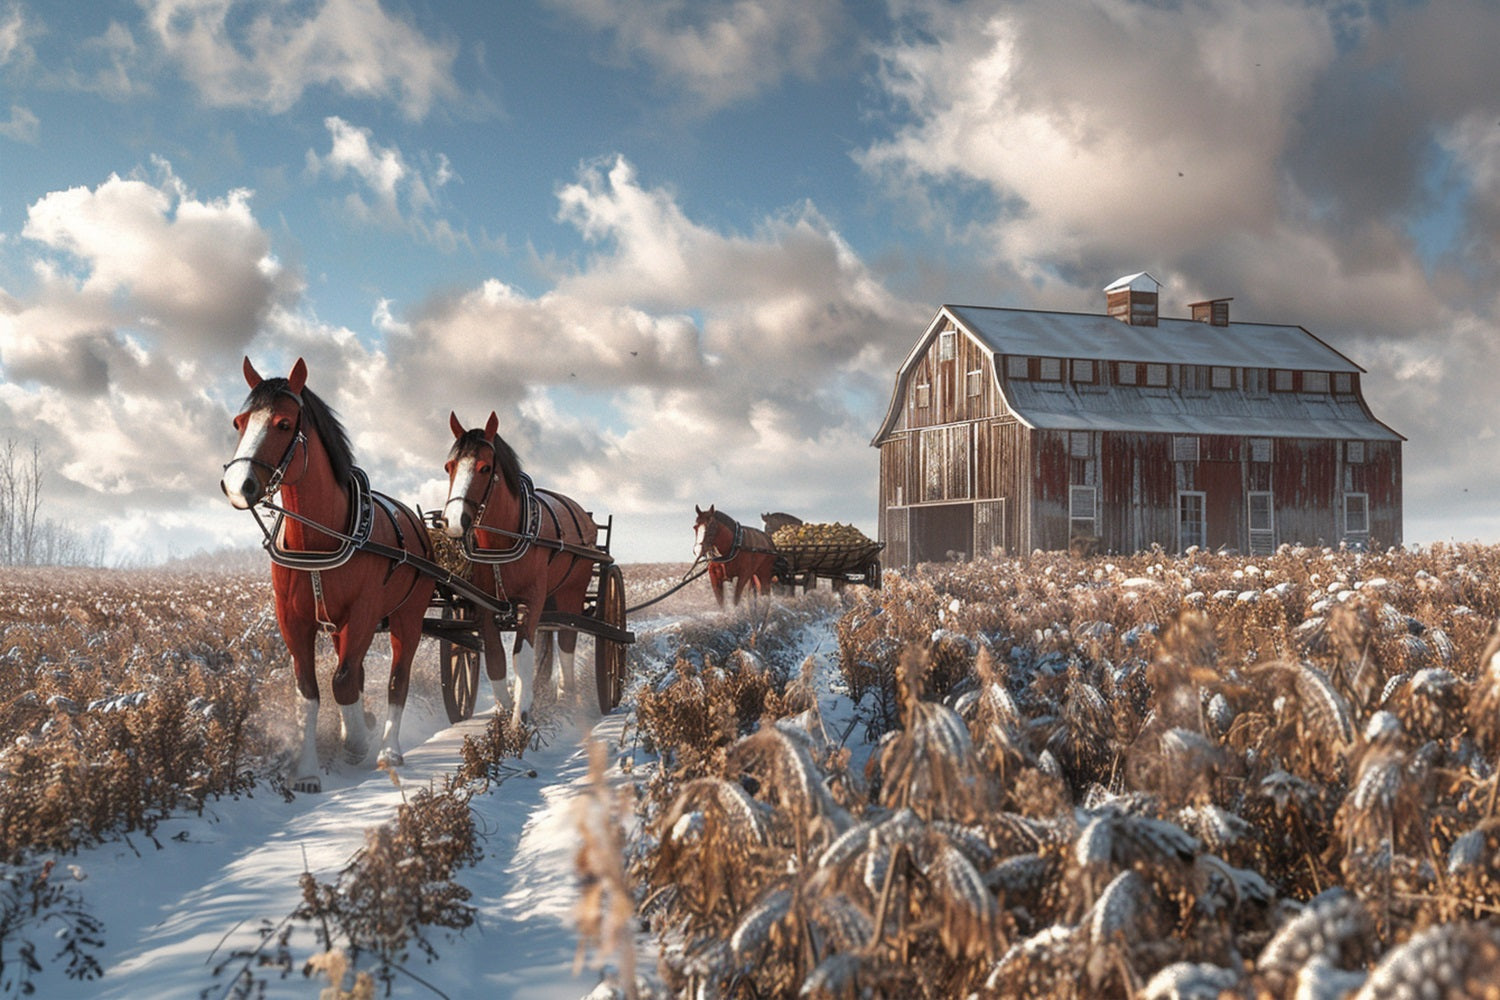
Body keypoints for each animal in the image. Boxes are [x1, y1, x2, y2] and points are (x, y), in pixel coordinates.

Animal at [219, 355, 438, 791]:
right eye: (240, 421)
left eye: (283, 423)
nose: (238, 486)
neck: (321, 537)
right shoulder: (294, 620)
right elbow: (310, 692)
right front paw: (307, 770)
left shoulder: (365, 613)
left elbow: (342, 682)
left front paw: (357, 743)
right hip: (338, 626)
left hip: (408, 616)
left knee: (397, 677)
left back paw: (388, 748)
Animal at [438, 407, 597, 728]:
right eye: (450, 466)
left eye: (485, 468)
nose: (454, 521)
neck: (503, 542)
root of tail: (582, 514)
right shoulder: (485, 605)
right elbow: (496, 659)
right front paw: (504, 710)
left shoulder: (532, 600)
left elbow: (522, 656)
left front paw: (520, 715)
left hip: (572, 592)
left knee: (567, 640)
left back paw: (567, 695)